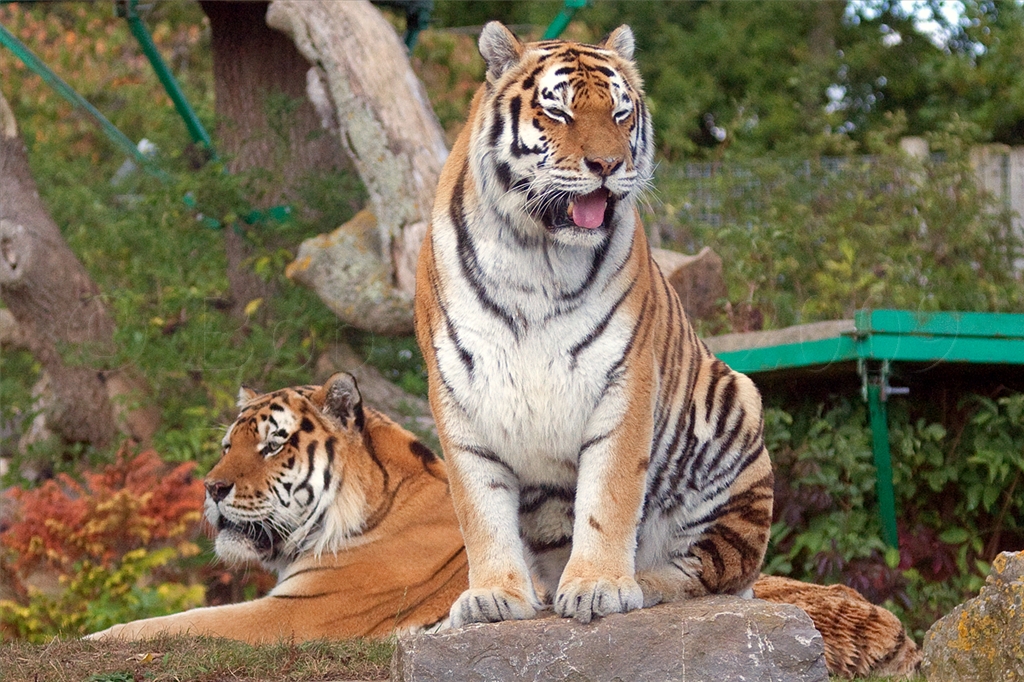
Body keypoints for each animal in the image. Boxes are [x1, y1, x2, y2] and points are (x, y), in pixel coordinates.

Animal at [87, 372, 468, 643]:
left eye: (272, 446)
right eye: (228, 446)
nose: (212, 488)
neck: (379, 508)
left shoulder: (296, 612)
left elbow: (186, 621)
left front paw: (97, 636)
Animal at [413, 21, 774, 628]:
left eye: (621, 113)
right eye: (558, 111)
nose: (607, 165)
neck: (535, 255)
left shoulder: (624, 380)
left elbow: (609, 495)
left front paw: (599, 585)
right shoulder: (458, 392)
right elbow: (479, 508)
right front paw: (493, 597)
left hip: (736, 414)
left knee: (710, 571)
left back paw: (643, 582)